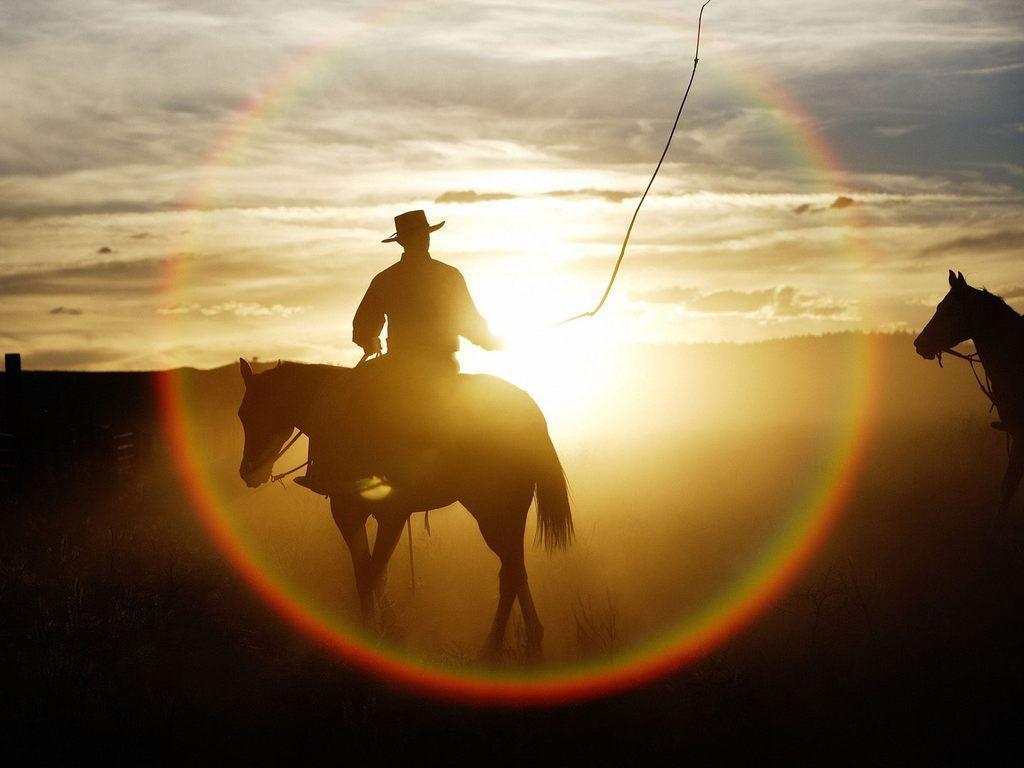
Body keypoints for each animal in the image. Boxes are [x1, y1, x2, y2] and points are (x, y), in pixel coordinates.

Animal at [234, 360, 577, 663]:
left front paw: (376, 635)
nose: (248, 472)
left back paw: (494, 649)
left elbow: (372, 574)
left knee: (510, 574)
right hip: (505, 515)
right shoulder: (349, 514)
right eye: (241, 414)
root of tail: (529, 411)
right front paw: (387, 627)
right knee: (514, 571)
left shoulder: (391, 515)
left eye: (255, 411)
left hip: (494, 513)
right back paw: (529, 643)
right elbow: (368, 573)